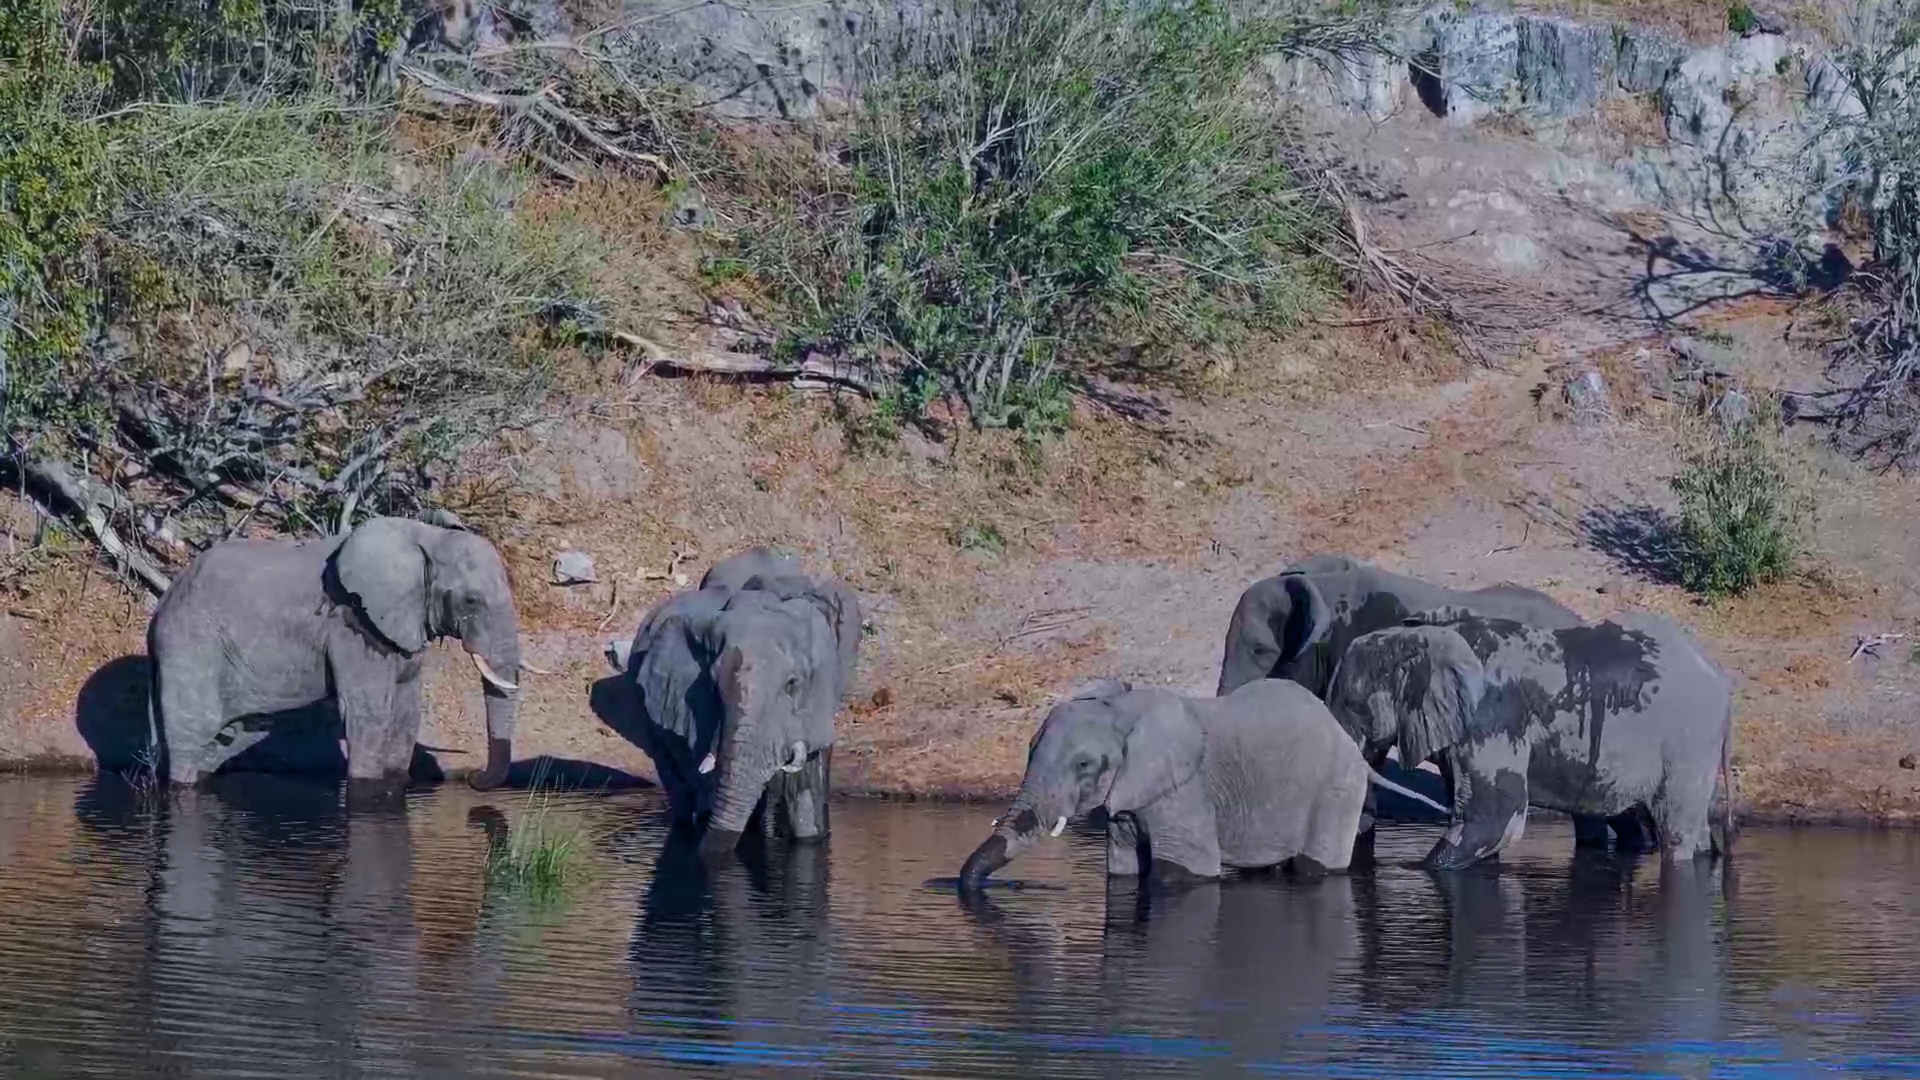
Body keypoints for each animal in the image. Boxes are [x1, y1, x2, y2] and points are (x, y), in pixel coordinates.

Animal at [146, 516, 522, 789]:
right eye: (471, 601)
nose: (471, 776)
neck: (427, 537)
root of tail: (163, 601)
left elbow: (406, 713)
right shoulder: (353, 625)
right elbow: (369, 713)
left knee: (227, 737)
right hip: (192, 642)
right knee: (193, 730)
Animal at [956, 678, 1447, 888]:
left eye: (1083, 765)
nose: (964, 884)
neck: (1124, 711)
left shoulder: (1183, 788)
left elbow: (1182, 872)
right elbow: (1124, 868)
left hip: (1336, 787)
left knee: (1316, 866)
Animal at [1325, 607, 1734, 868]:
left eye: (1352, 705)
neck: (1422, 635)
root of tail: (1718, 674)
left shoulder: (1494, 714)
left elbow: (1492, 818)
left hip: (1689, 742)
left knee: (1676, 830)